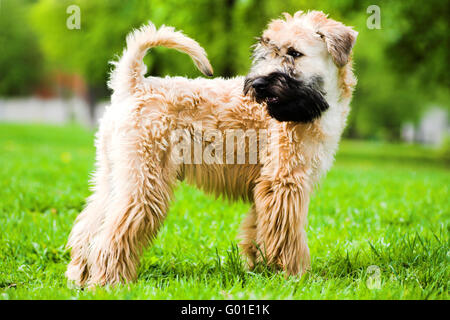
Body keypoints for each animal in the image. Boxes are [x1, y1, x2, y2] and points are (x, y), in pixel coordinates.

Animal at [66, 10, 358, 286]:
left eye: (294, 53)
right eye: (267, 51)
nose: (258, 85)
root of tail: (134, 85)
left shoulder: (265, 187)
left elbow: (259, 230)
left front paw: (260, 269)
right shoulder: (284, 183)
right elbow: (288, 235)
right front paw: (295, 275)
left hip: (114, 176)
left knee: (89, 227)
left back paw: (79, 277)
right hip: (145, 183)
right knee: (112, 234)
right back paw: (109, 281)